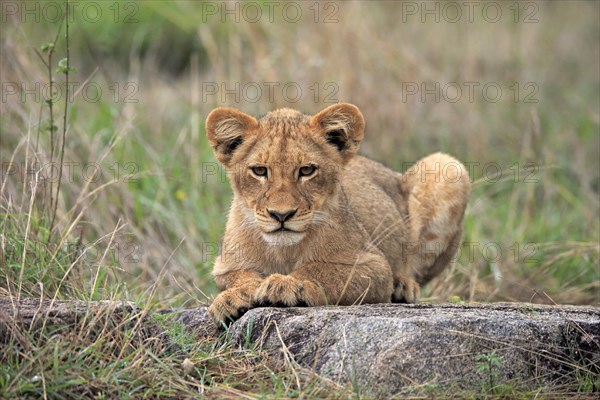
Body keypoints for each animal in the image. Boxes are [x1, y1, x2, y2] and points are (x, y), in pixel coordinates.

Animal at [206, 102, 474, 322]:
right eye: (260, 171)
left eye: (307, 170)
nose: (281, 215)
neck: (284, 250)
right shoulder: (225, 265)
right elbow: (240, 276)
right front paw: (233, 297)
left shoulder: (373, 265)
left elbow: (322, 270)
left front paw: (286, 284)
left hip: (449, 167)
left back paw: (402, 287)